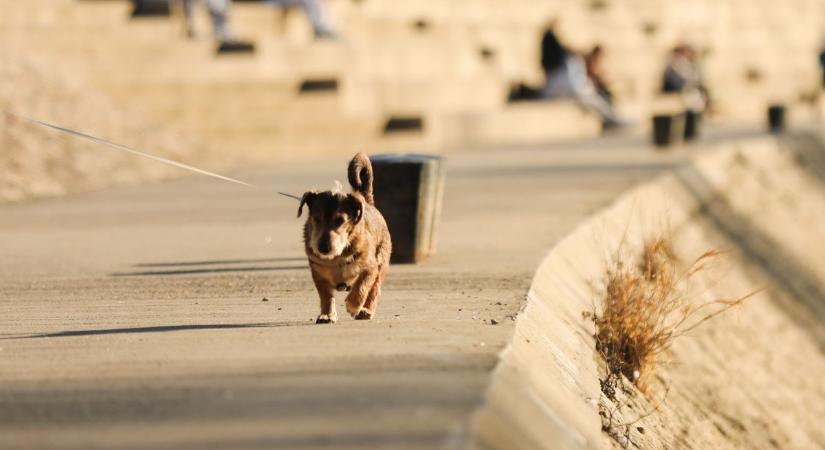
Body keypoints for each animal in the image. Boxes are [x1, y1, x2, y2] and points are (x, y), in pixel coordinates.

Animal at [298, 153, 392, 322]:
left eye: (340, 220)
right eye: (316, 218)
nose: (323, 247)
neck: (337, 257)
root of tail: (367, 201)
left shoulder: (371, 267)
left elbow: (362, 286)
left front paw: (353, 305)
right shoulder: (318, 274)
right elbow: (326, 296)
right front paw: (327, 314)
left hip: (382, 263)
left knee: (374, 289)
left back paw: (366, 310)